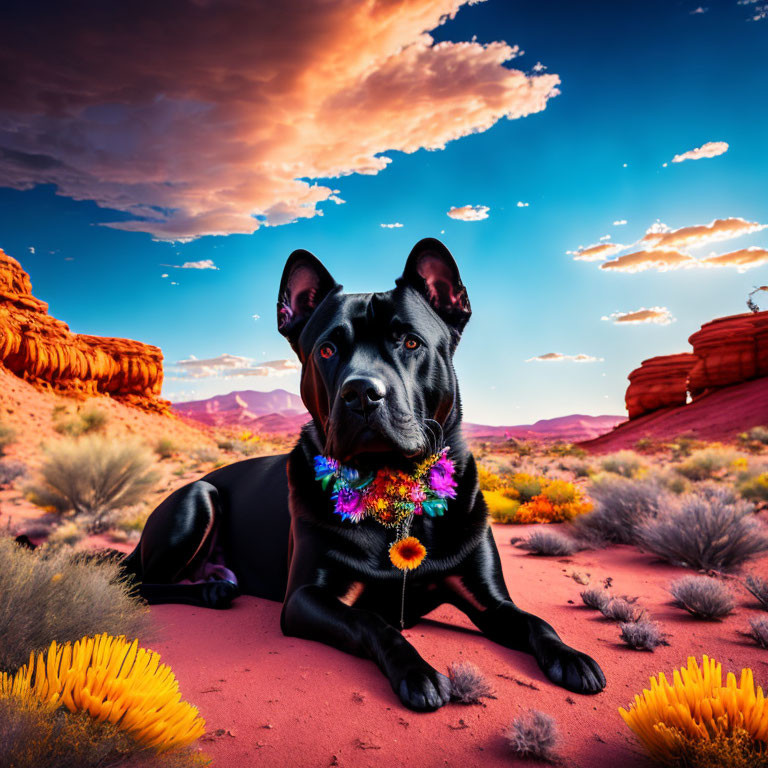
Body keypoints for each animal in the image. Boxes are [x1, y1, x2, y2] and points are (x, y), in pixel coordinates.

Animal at [123, 242, 608, 712]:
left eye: (411, 342)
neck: (395, 493)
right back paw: (212, 591)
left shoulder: (488, 599)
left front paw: (572, 658)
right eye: (326, 350)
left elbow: (536, 622)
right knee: (140, 584)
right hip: (199, 498)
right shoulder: (306, 598)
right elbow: (372, 621)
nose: (361, 393)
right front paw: (418, 673)